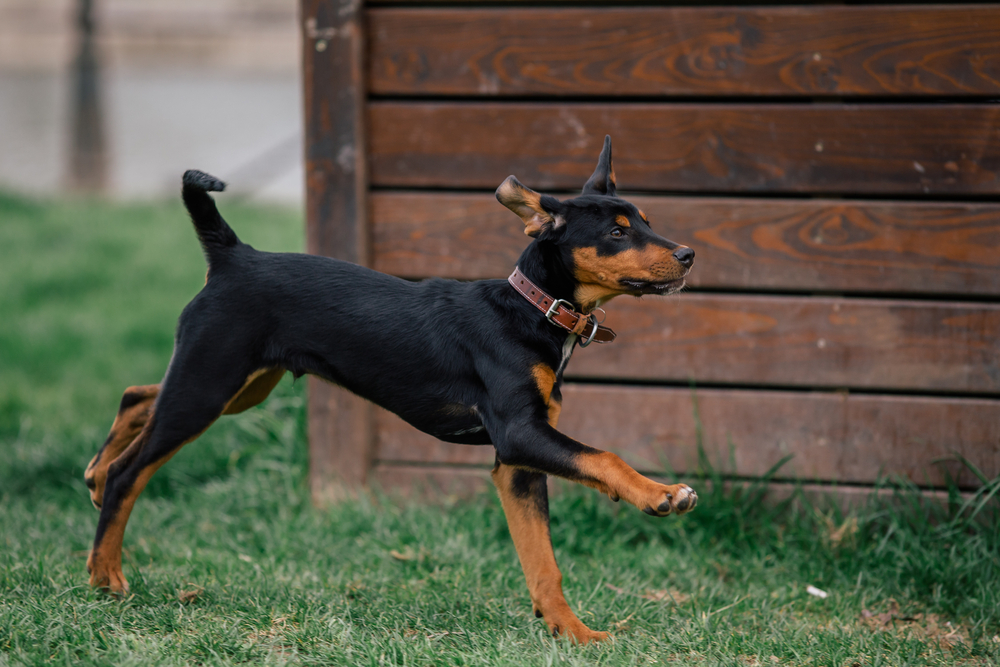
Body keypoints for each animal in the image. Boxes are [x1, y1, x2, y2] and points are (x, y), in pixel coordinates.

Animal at [84, 138, 696, 644]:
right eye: (617, 232)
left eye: (646, 221)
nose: (689, 255)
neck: (530, 309)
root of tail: (235, 254)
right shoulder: (522, 436)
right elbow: (605, 457)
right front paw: (661, 494)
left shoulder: (516, 465)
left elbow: (543, 561)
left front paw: (572, 633)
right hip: (208, 387)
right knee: (131, 471)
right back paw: (105, 574)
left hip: (237, 385)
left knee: (137, 395)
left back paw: (93, 474)